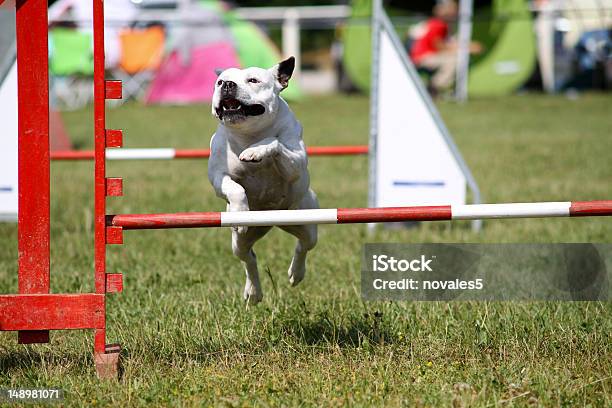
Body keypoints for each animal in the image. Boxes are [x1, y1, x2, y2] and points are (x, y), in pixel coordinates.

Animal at [208, 58, 318, 306]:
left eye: (253, 80)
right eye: (220, 82)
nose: (227, 84)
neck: (249, 134)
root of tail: (271, 221)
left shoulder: (296, 163)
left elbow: (273, 141)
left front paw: (256, 151)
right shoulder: (217, 176)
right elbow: (234, 187)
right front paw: (240, 209)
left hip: (307, 223)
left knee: (303, 245)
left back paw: (296, 273)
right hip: (239, 240)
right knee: (249, 258)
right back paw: (253, 291)